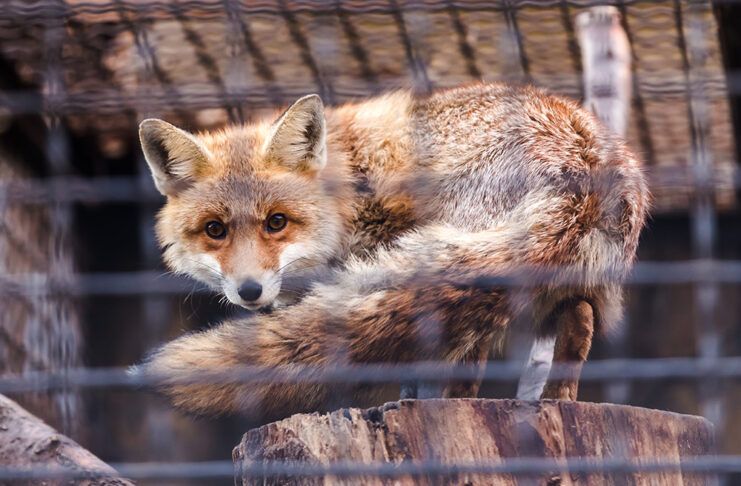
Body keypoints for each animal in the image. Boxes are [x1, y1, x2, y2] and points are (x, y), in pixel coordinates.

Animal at [136, 83, 648, 418]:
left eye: (276, 222)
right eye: (215, 230)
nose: (249, 291)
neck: (346, 185)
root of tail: (582, 157)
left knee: (476, 346)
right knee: (579, 316)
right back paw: (558, 399)